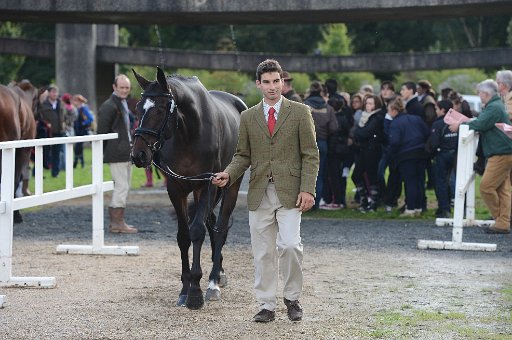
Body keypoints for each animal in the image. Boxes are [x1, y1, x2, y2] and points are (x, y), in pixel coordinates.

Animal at [130, 67, 246, 310]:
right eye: (137, 108)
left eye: (160, 109)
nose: (139, 154)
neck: (188, 133)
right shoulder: (176, 188)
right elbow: (184, 235)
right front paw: (184, 289)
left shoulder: (205, 185)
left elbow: (197, 231)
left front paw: (195, 291)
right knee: (213, 224)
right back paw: (219, 272)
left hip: (229, 185)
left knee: (220, 228)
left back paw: (213, 282)